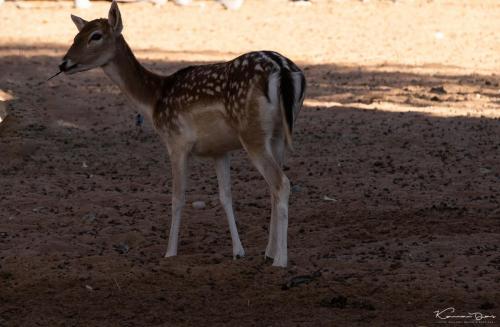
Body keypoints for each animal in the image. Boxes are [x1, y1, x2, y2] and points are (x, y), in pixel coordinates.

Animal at [61, 1, 304, 270]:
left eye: (96, 36)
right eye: (76, 35)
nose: (64, 63)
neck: (154, 101)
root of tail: (283, 70)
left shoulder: (176, 142)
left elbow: (177, 197)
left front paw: (169, 253)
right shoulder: (219, 150)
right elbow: (225, 196)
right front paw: (238, 252)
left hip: (252, 134)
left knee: (281, 183)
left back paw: (280, 261)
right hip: (278, 134)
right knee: (274, 186)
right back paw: (269, 253)